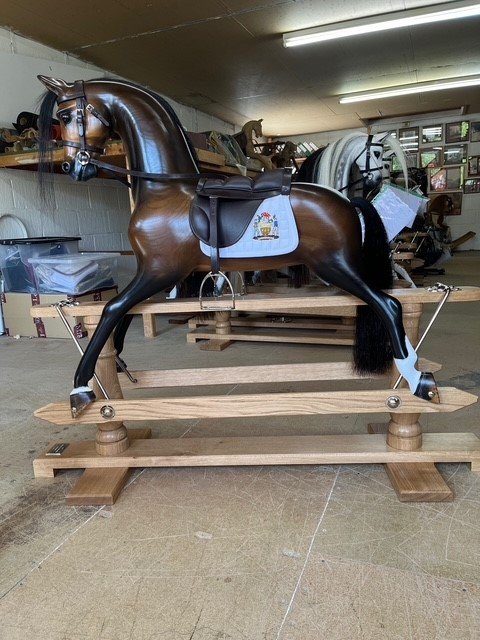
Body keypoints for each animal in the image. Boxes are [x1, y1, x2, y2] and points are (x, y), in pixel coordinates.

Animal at [37, 76, 438, 416]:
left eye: (67, 115)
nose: (73, 166)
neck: (165, 191)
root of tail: (347, 201)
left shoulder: (158, 271)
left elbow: (111, 310)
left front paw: (79, 388)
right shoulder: (151, 274)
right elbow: (122, 314)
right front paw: (116, 361)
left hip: (337, 266)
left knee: (389, 305)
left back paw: (418, 379)